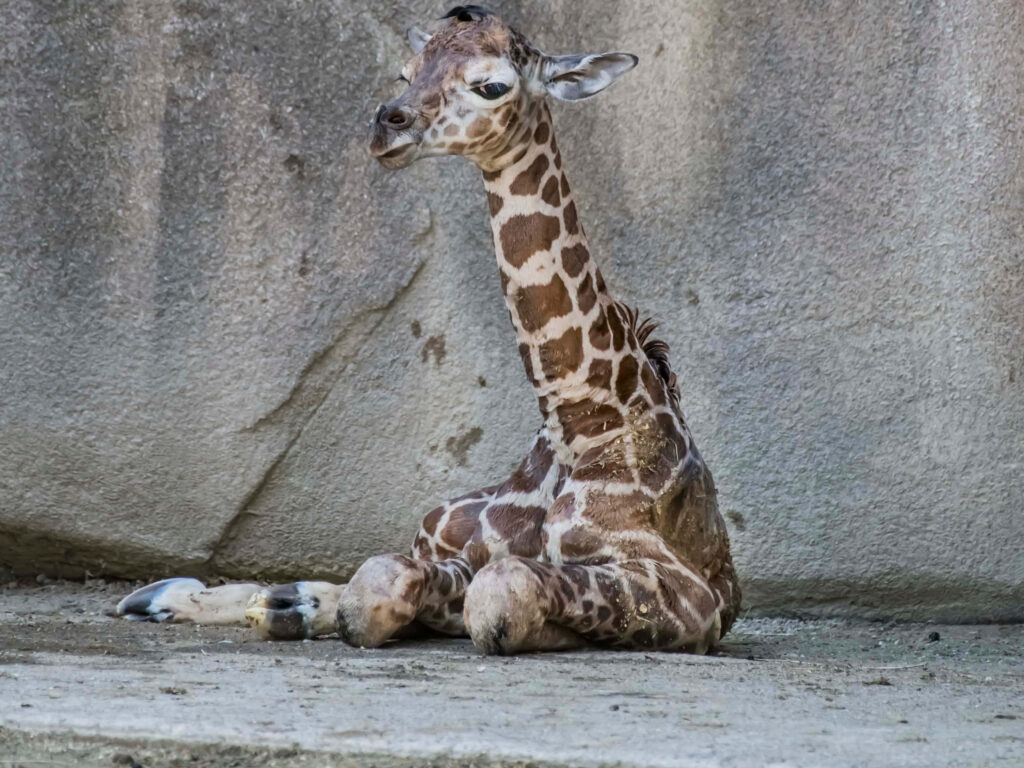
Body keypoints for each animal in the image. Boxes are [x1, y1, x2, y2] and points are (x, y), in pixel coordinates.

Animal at [117, 5, 741, 654]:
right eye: (406, 71)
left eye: (491, 85)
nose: (386, 127)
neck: (581, 418)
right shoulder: (443, 545)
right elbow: (379, 583)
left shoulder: (686, 599)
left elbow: (497, 595)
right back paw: (167, 597)